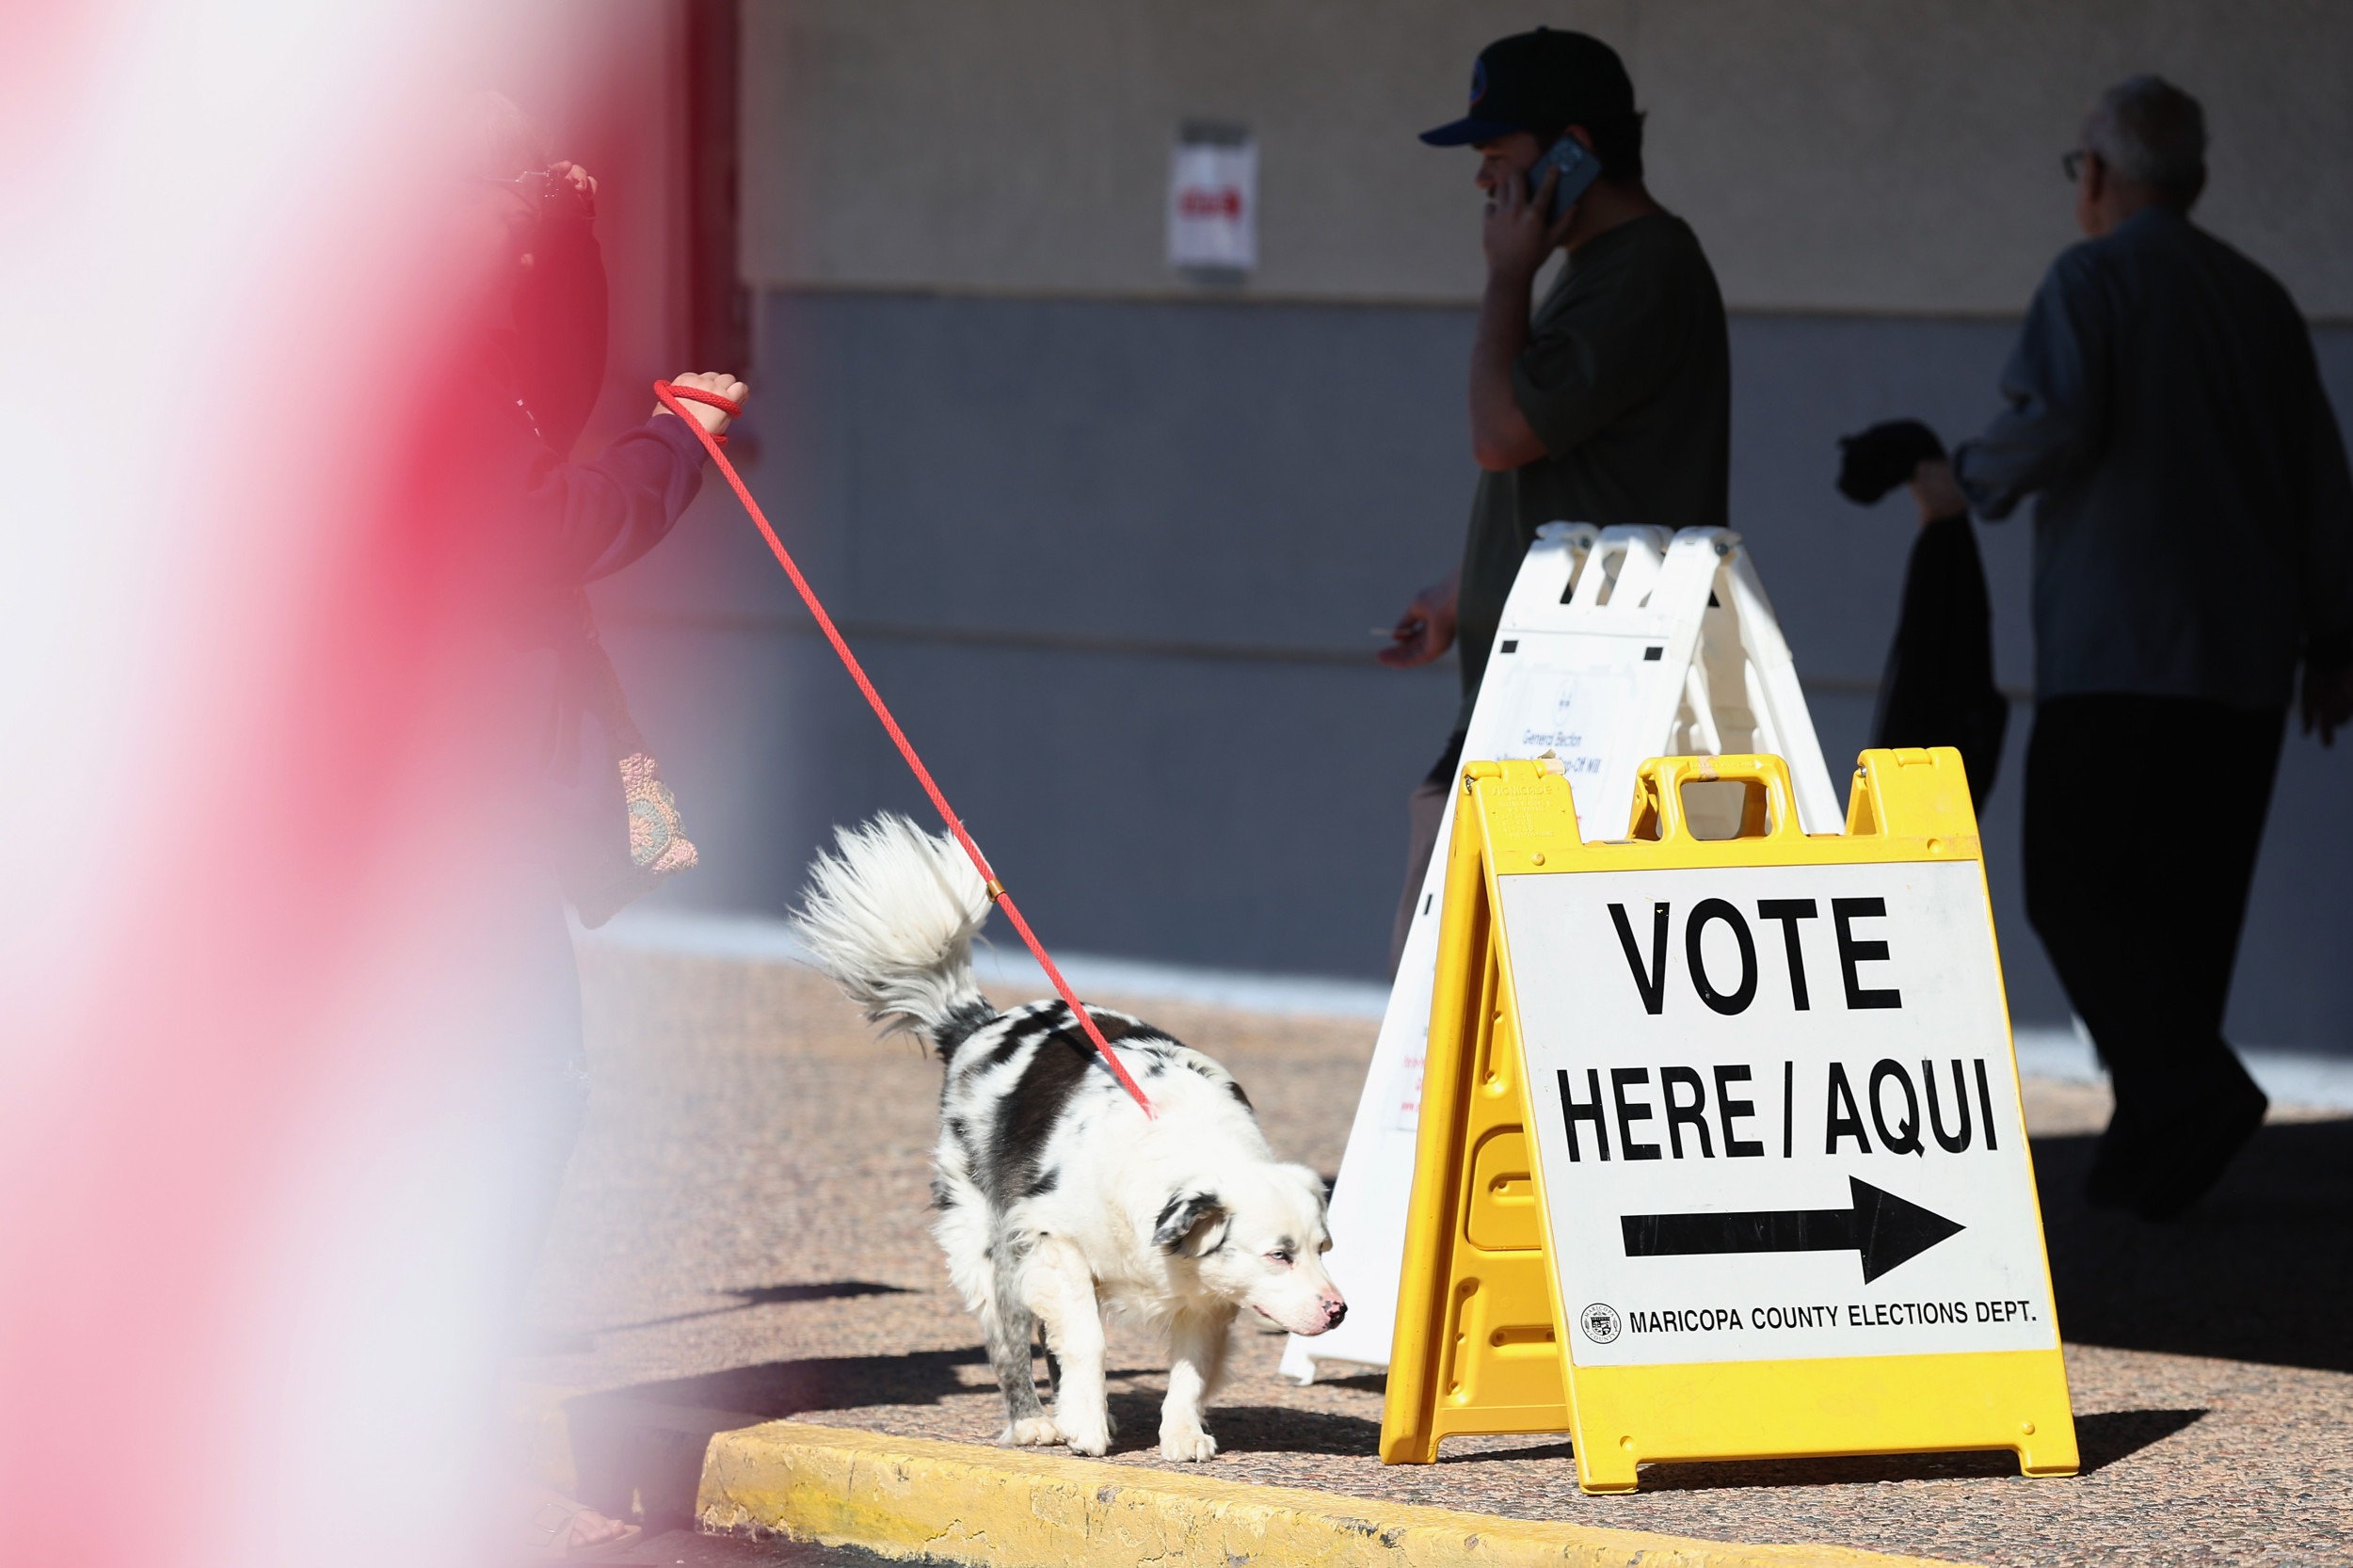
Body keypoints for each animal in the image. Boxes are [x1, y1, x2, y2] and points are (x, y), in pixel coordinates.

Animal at [795, 809, 1337, 1459]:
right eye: (1279, 1255)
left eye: (1323, 1248)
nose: (1339, 1311)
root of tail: (977, 1023)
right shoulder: (1053, 1241)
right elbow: (1084, 1339)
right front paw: (1083, 1425)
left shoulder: (1204, 1295)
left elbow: (1190, 1368)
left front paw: (1181, 1434)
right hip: (988, 1247)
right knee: (1011, 1341)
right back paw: (1036, 1421)